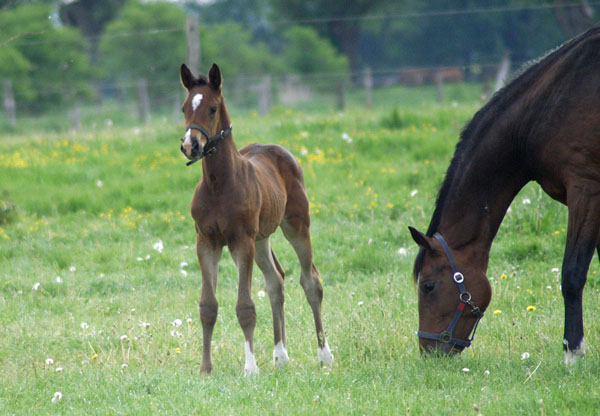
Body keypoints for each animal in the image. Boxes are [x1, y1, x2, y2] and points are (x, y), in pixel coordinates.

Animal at [180, 63, 336, 376]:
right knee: (276, 281)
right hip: (262, 238)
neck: (218, 185)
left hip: (296, 226)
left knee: (311, 281)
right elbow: (207, 306)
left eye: (213, 108)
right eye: (183, 108)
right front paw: (205, 369)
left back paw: (324, 355)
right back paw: (281, 355)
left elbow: (245, 307)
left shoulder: (241, 241)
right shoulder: (206, 242)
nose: (191, 145)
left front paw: (250, 368)